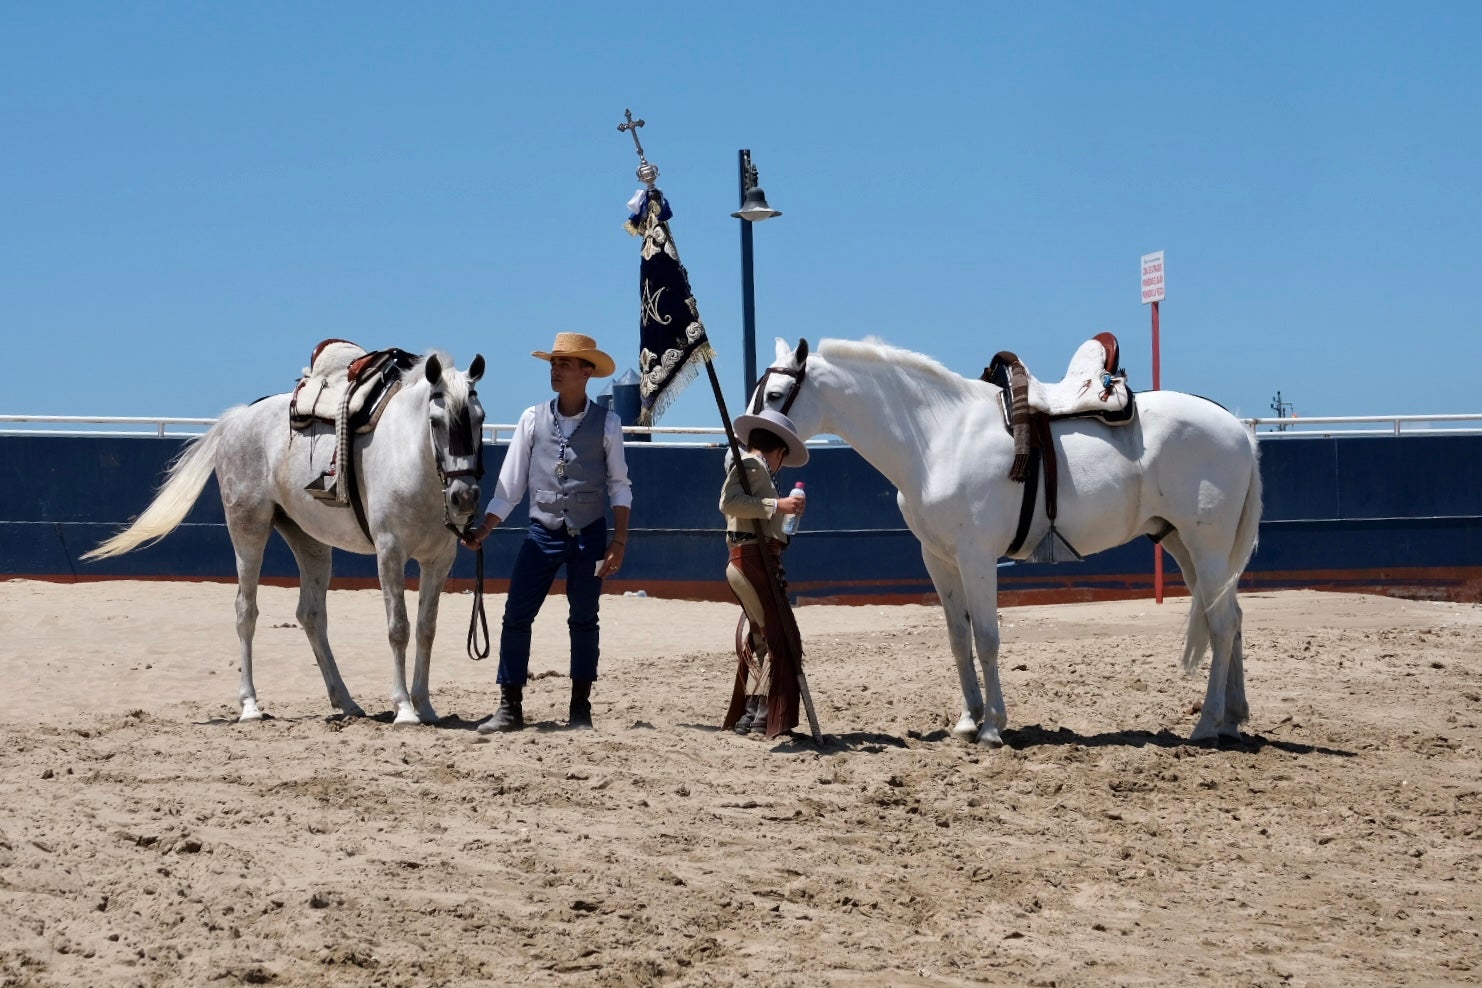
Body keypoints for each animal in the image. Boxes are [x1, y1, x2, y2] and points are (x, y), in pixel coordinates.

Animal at [84, 351, 486, 722]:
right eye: (436, 421)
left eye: (480, 418)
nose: (465, 496)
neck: (412, 461)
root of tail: (237, 420)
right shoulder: (390, 553)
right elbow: (398, 628)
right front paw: (403, 708)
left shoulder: (439, 560)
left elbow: (426, 629)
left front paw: (426, 707)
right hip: (248, 531)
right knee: (245, 612)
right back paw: (250, 705)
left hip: (310, 542)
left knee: (311, 615)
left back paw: (346, 702)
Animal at [752, 336, 1262, 746]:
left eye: (775, 395)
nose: (753, 451)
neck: (938, 436)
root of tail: (1236, 427)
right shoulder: (939, 559)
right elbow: (959, 639)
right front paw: (967, 720)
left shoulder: (977, 557)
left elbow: (987, 638)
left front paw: (993, 726)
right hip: (1184, 547)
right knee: (1233, 618)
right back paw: (1233, 719)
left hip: (1207, 547)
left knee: (1221, 624)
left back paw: (1207, 725)